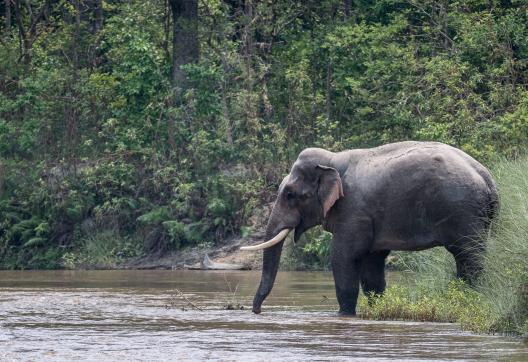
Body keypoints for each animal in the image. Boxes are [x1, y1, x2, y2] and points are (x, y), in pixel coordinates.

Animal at [241, 141, 498, 314]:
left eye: (290, 195)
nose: (256, 311)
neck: (332, 161)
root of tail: (488, 178)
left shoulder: (354, 211)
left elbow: (343, 257)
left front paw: (344, 314)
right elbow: (372, 265)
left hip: (463, 211)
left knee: (468, 256)